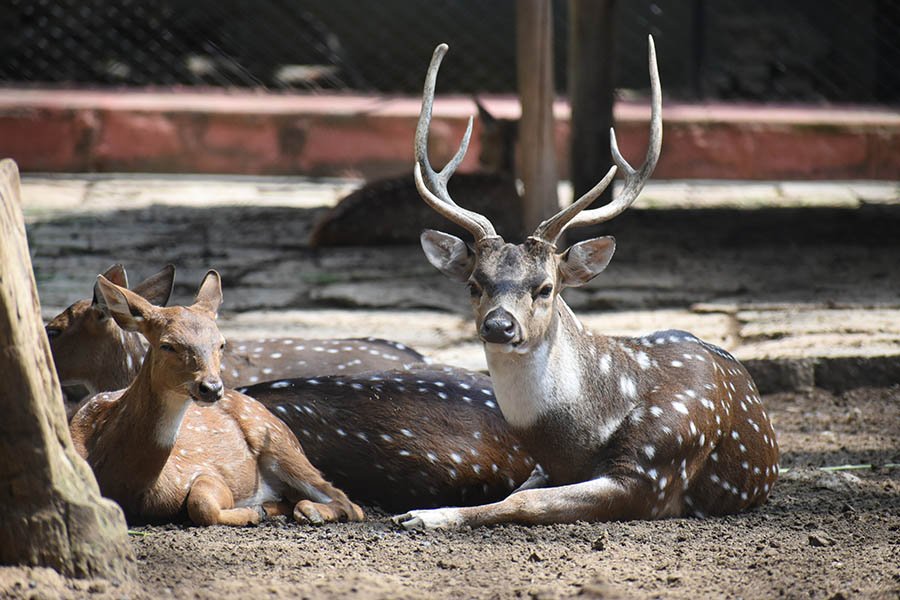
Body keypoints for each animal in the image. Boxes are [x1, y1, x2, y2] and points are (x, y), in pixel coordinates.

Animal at [69, 270, 364, 526]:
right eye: (167, 344)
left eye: (221, 343)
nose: (211, 387)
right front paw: (257, 511)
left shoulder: (206, 472)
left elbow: (201, 505)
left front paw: (253, 513)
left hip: (281, 444)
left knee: (350, 503)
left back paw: (307, 511)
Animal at [393, 38, 780, 530]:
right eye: (475, 284)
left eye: (545, 287)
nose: (499, 326)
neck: (575, 441)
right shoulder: (546, 466)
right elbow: (516, 490)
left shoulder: (652, 472)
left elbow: (523, 502)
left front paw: (425, 515)